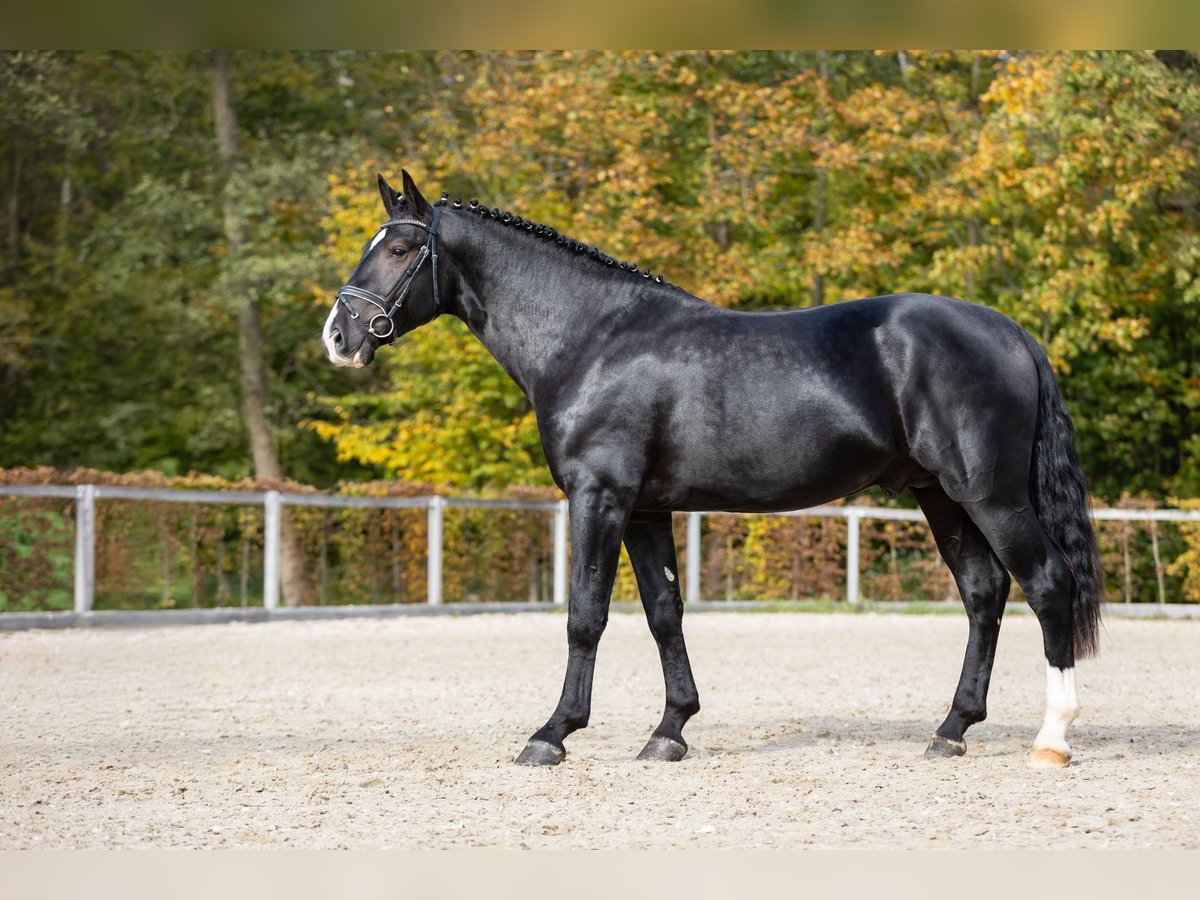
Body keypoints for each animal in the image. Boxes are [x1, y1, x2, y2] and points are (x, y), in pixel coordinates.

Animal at [321, 172, 1104, 772]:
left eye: (399, 248)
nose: (339, 336)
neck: (591, 338)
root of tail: (1009, 329)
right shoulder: (644, 509)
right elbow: (664, 613)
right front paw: (670, 731)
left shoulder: (599, 499)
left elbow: (585, 615)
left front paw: (552, 735)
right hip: (939, 496)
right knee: (983, 593)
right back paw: (950, 730)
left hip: (990, 496)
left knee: (1046, 584)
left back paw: (1051, 740)